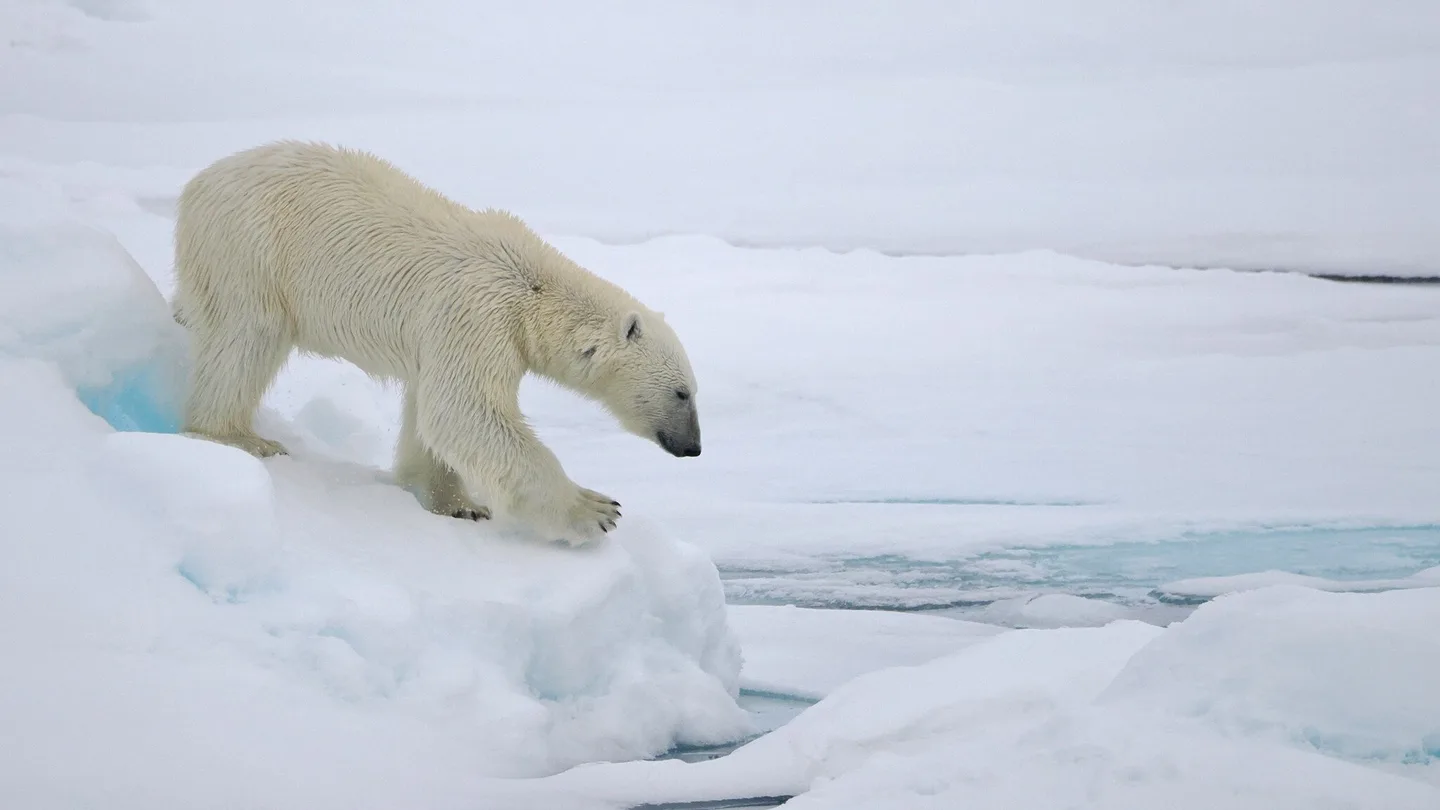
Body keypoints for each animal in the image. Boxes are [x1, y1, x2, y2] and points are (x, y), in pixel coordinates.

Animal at [170, 140, 702, 547]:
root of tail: (199, 182)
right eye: (681, 392)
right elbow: (465, 411)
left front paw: (457, 505)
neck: (533, 290)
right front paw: (595, 509)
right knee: (246, 337)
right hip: (250, 250)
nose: (693, 448)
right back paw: (239, 436)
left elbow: (433, 415)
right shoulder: (478, 315)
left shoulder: (459, 334)